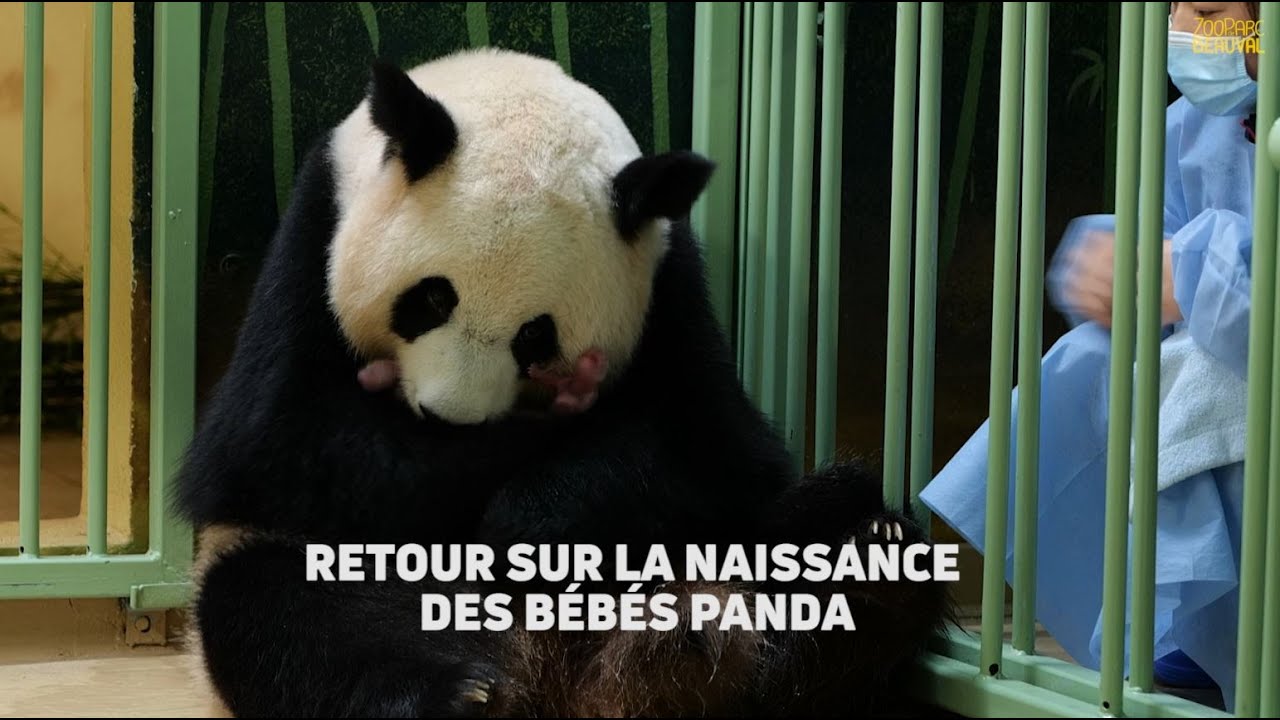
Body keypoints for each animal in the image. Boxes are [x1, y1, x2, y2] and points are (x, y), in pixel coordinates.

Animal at [176, 48, 954, 718]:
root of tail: (565, 680)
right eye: (430, 298)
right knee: (273, 606)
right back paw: (454, 694)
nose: (447, 420)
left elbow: (719, 449)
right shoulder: (316, 227)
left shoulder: (668, 281)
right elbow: (273, 442)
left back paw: (867, 580)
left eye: (535, 337)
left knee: (809, 522)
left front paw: (528, 516)